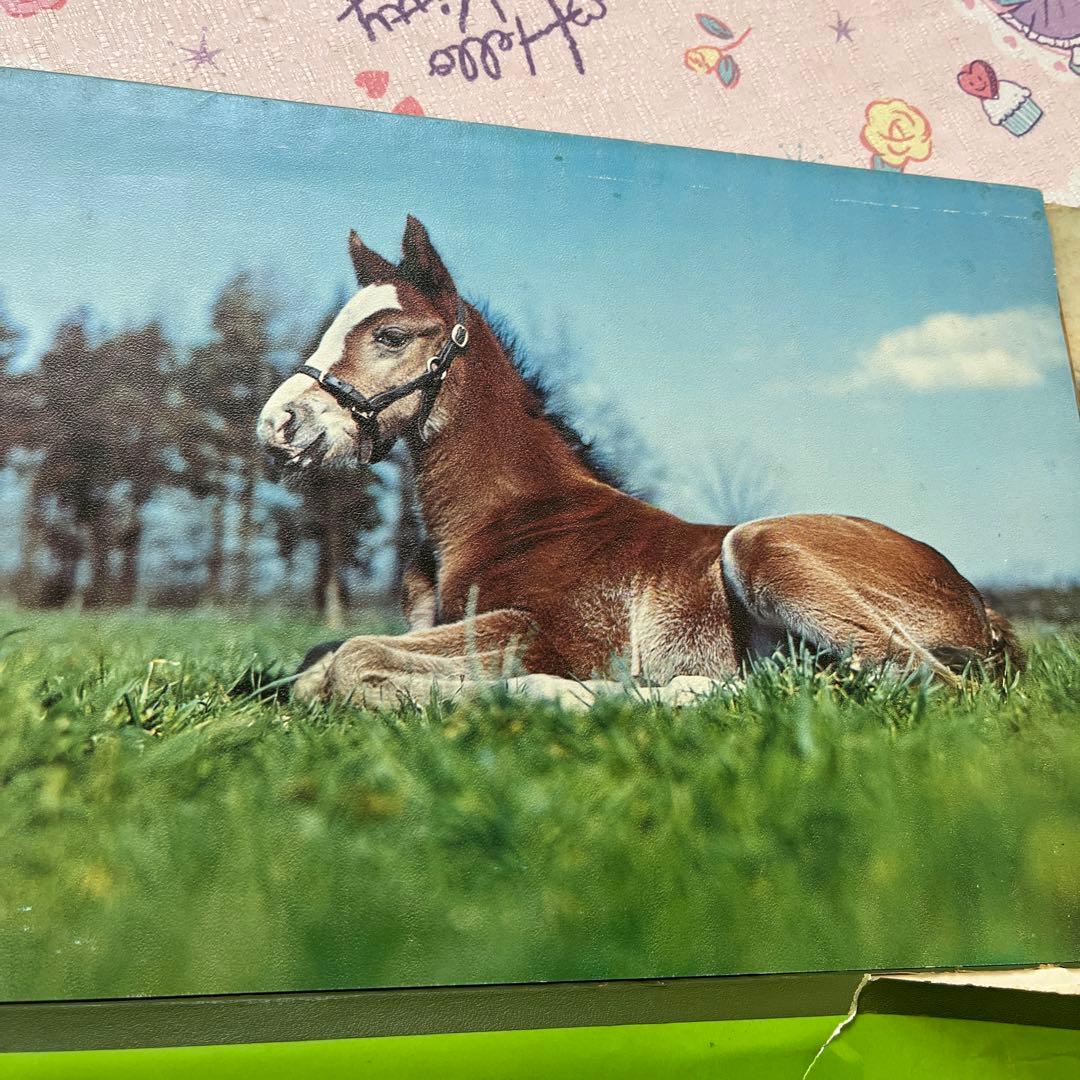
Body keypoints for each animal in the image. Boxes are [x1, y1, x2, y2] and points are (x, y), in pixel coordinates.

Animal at [257, 215, 1023, 705]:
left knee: (922, 684)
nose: (277, 423)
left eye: (390, 335)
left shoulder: (536, 630)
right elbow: (320, 661)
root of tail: (979, 605)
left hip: (763, 545)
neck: (506, 515)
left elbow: (352, 663)